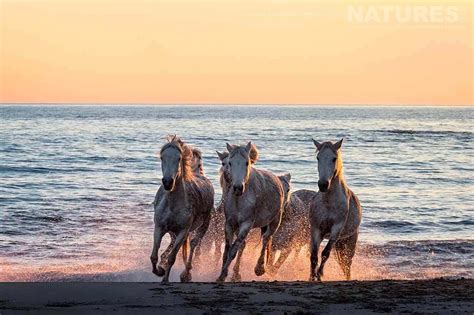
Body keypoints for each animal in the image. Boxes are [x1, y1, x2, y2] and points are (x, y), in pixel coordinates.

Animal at [151, 136, 214, 284]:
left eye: (178, 158)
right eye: (162, 157)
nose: (168, 182)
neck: (172, 204)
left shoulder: (182, 231)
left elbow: (172, 258)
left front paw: (165, 278)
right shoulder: (159, 228)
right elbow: (154, 256)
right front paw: (160, 271)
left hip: (204, 224)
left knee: (193, 244)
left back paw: (186, 273)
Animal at [216, 142, 284, 282]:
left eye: (247, 163)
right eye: (229, 162)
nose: (238, 188)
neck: (239, 199)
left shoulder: (246, 225)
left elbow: (233, 250)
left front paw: (223, 274)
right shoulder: (229, 224)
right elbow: (227, 250)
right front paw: (222, 275)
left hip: (275, 221)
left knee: (266, 239)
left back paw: (259, 268)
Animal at [310, 139, 362, 282]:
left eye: (334, 158)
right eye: (318, 158)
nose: (323, 184)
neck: (329, 202)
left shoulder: (336, 229)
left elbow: (325, 253)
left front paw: (319, 275)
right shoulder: (316, 229)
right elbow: (314, 256)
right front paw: (312, 277)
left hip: (348, 241)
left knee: (347, 263)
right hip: (340, 244)